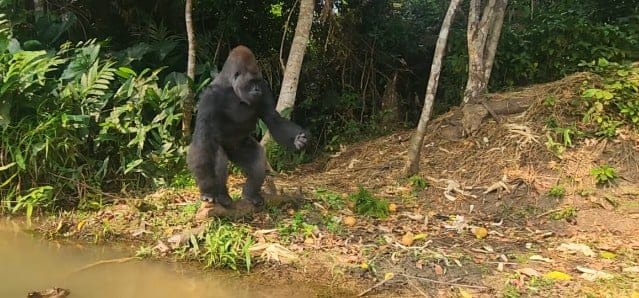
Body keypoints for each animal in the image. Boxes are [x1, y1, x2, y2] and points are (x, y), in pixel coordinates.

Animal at [188, 46, 308, 210]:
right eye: (251, 82)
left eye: (257, 82)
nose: (256, 89)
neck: (230, 86)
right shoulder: (209, 96)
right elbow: (203, 138)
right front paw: (207, 191)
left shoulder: (265, 89)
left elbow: (273, 119)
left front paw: (296, 140)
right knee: (218, 156)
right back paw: (222, 196)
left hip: (239, 149)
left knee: (258, 158)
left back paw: (250, 194)